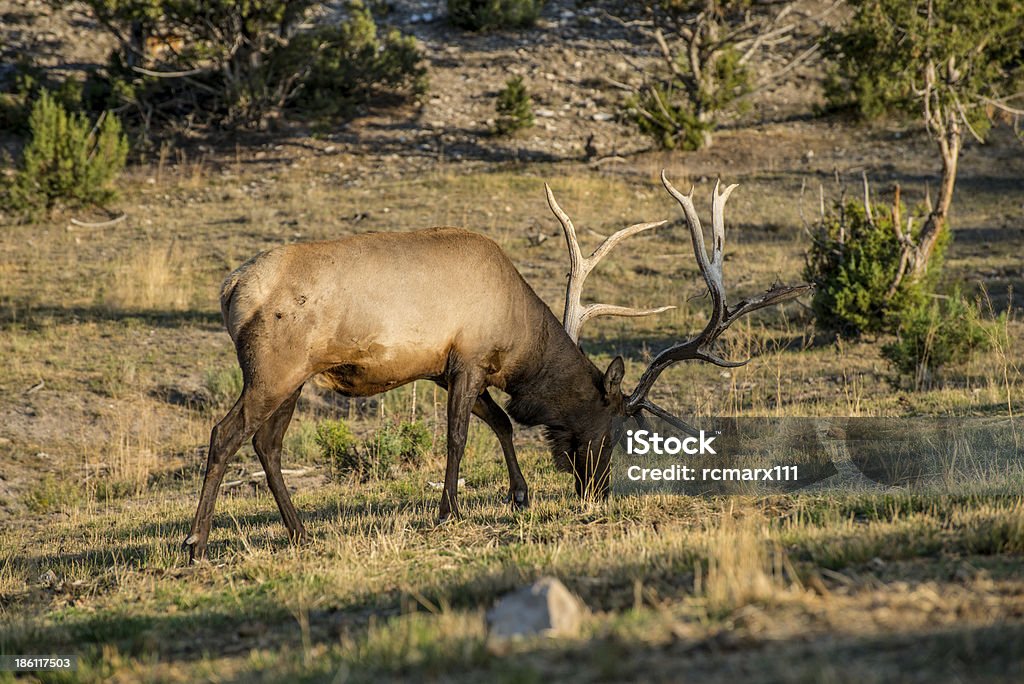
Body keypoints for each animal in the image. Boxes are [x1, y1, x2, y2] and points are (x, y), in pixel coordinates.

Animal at [182, 171, 806, 561]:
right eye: (614, 433)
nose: (598, 493)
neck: (520, 339)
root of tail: (231, 288)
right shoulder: (468, 360)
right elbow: (459, 436)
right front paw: (447, 510)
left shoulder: (455, 369)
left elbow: (502, 423)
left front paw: (520, 495)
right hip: (273, 368)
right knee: (224, 433)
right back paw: (196, 543)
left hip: (294, 378)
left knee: (267, 444)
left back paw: (300, 533)